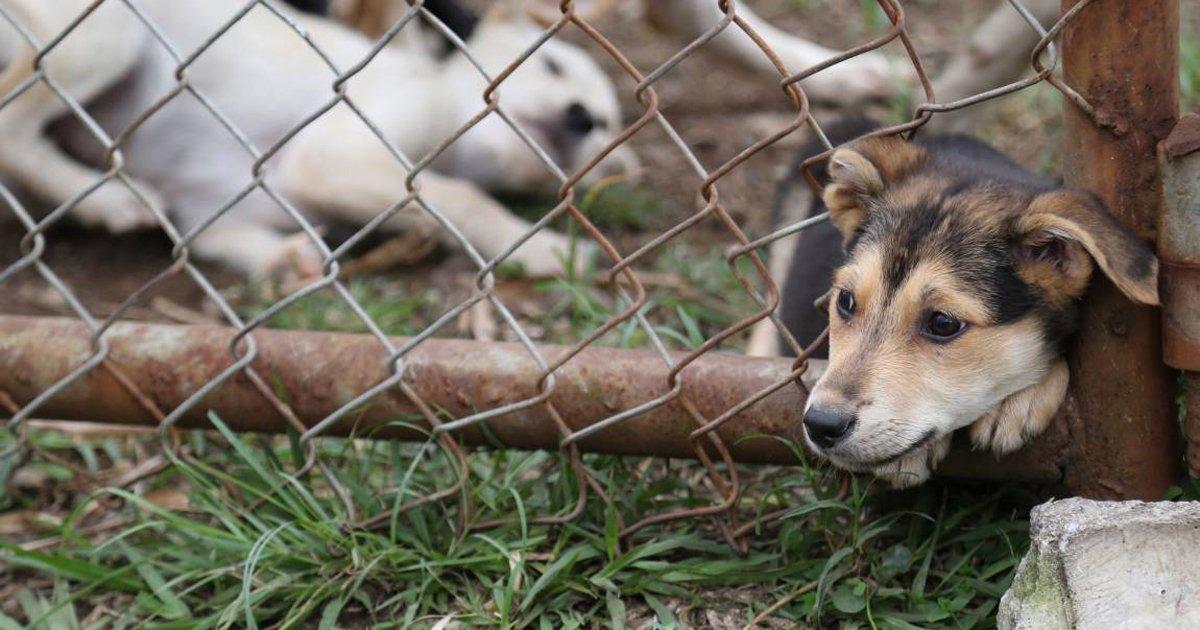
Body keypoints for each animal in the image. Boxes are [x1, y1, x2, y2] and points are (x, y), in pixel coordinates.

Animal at [0, 0, 633, 277]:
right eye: (551, 65)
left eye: (604, 125)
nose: (581, 117)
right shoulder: (334, 159)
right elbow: (463, 198)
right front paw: (537, 247)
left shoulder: (216, 213)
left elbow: (219, 241)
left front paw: (283, 261)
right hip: (111, 34)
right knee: (11, 129)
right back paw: (109, 199)